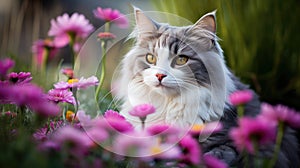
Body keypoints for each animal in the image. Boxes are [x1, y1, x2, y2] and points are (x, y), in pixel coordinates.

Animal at [116, 7, 298, 167]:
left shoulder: (231, 145)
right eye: (151, 58)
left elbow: (211, 156)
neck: (169, 106)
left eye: (181, 60)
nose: (160, 75)